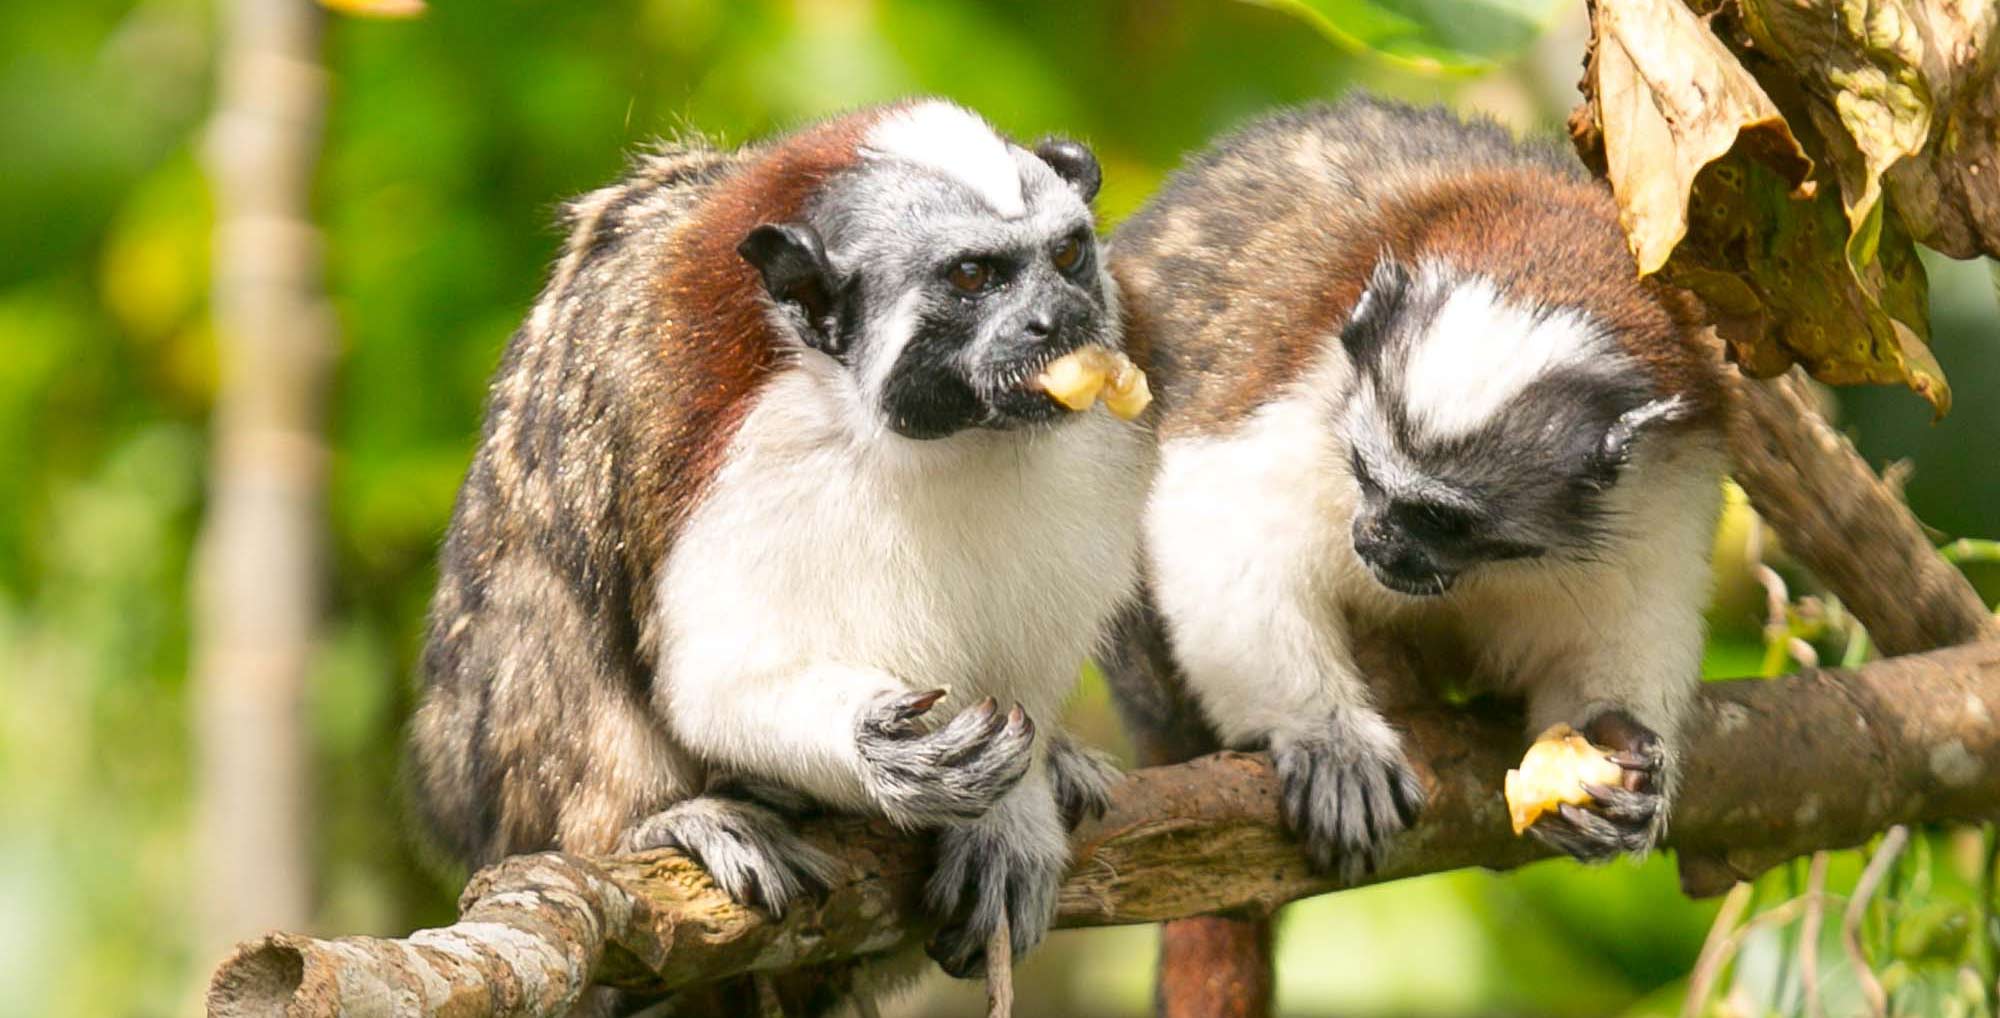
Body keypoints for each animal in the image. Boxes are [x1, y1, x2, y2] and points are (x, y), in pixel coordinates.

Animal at [406, 101, 1152, 1000]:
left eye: (1068, 255)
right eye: (974, 277)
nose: (1059, 320)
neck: (957, 440)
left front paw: (1016, 814)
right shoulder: (756, 459)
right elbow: (713, 684)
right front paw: (872, 750)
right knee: (548, 598)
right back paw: (661, 820)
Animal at [1104, 95, 1728, 876]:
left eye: (1443, 520)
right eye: (1367, 473)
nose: (1376, 540)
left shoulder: (1664, 481)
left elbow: (1628, 623)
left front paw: (1620, 753)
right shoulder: (1303, 380)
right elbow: (1212, 525)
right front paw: (1325, 734)